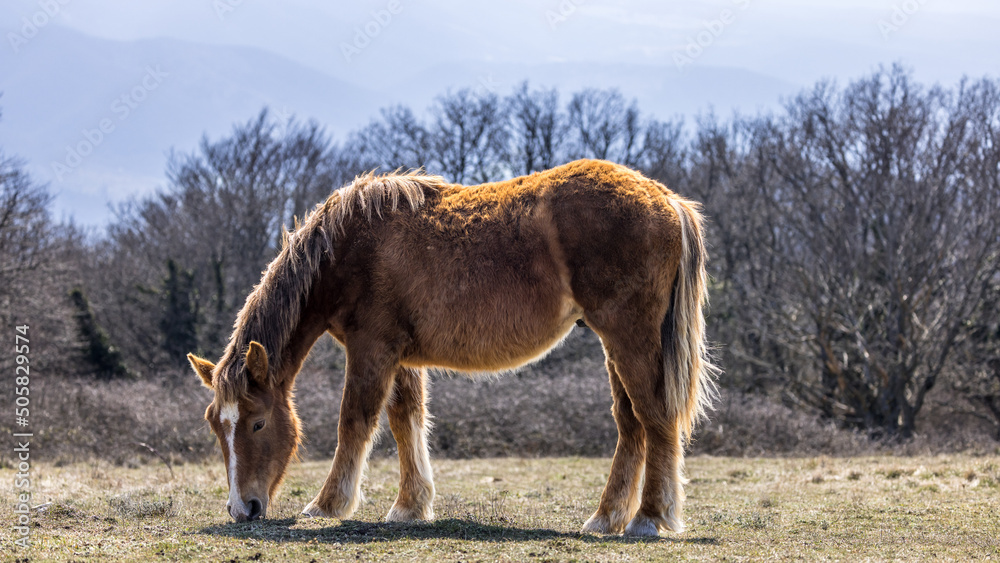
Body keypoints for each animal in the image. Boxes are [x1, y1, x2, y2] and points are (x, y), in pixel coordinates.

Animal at [187, 159, 717, 536]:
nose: (242, 508)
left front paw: (327, 504)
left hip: (629, 338)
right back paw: (607, 518)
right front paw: (410, 505)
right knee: (631, 425)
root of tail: (666, 199)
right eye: (216, 426)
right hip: (614, 344)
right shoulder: (399, 357)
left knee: (655, 417)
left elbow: (355, 421)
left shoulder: (371, 349)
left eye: (257, 423)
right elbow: (406, 421)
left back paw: (649, 518)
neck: (346, 248)